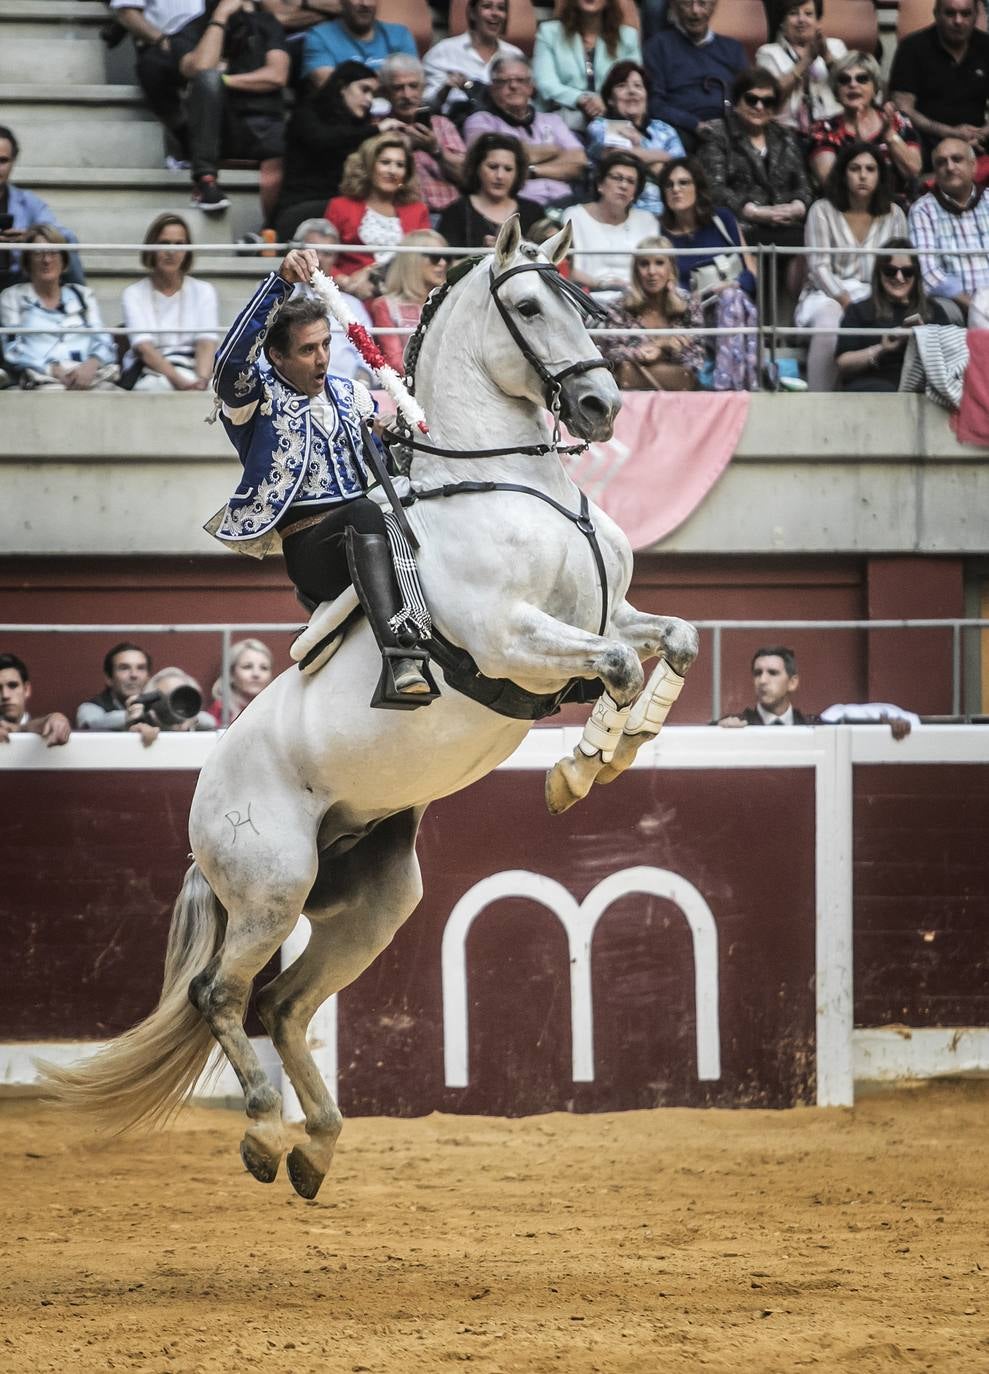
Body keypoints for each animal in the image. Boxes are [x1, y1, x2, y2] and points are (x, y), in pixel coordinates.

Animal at [42, 219, 700, 1198]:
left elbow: (672, 642)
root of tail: (201, 816)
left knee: (283, 1003)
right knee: (222, 994)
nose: (598, 406)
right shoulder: (509, 639)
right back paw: (264, 1132)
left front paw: (615, 747)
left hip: (372, 904)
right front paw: (582, 767)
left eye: (582, 306)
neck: (519, 489)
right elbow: (616, 664)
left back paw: (315, 1146)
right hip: (271, 888)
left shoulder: (606, 613)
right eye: (529, 306)